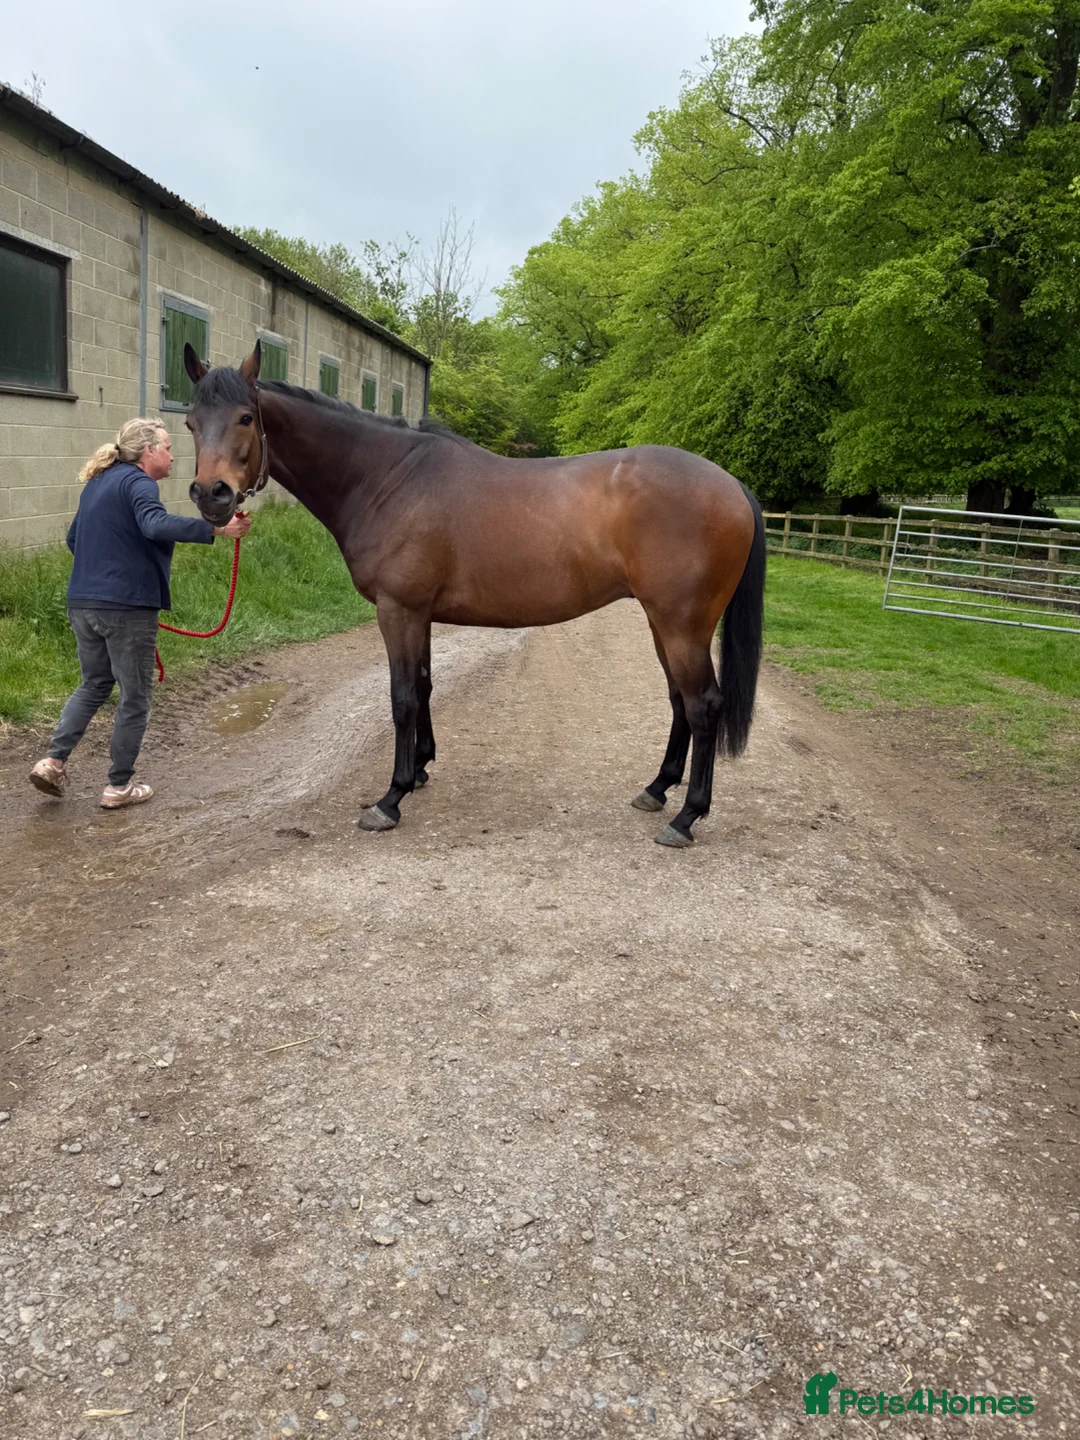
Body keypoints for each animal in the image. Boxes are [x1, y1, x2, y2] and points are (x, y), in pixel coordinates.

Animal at [181, 340, 766, 848]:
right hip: (662, 623)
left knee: (704, 706)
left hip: (682, 625)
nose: (212, 496)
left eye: (246, 418)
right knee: (679, 701)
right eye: (190, 422)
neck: (386, 478)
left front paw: (389, 799)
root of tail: (733, 485)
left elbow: (401, 698)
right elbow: (424, 686)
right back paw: (657, 790)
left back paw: (686, 817)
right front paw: (418, 769)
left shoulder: (399, 611)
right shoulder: (419, 614)